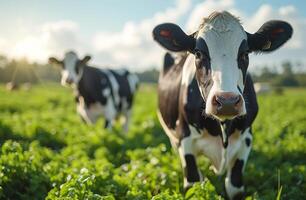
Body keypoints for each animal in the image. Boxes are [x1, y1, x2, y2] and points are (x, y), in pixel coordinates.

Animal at [152, 11, 292, 199]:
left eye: (245, 53)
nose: (227, 101)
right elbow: (193, 183)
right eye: (198, 53)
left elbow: (234, 187)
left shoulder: (246, 139)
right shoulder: (185, 138)